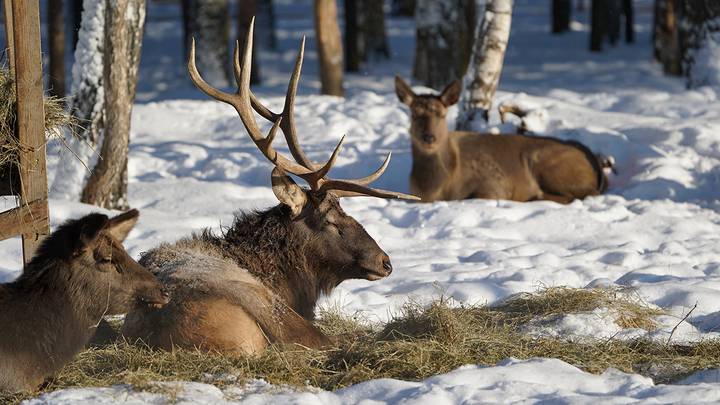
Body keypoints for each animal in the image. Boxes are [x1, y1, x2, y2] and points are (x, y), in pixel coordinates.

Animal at [394, 76, 608, 204]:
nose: (428, 137)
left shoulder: (494, 183)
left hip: (549, 165)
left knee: (588, 192)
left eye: (441, 114)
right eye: (414, 113)